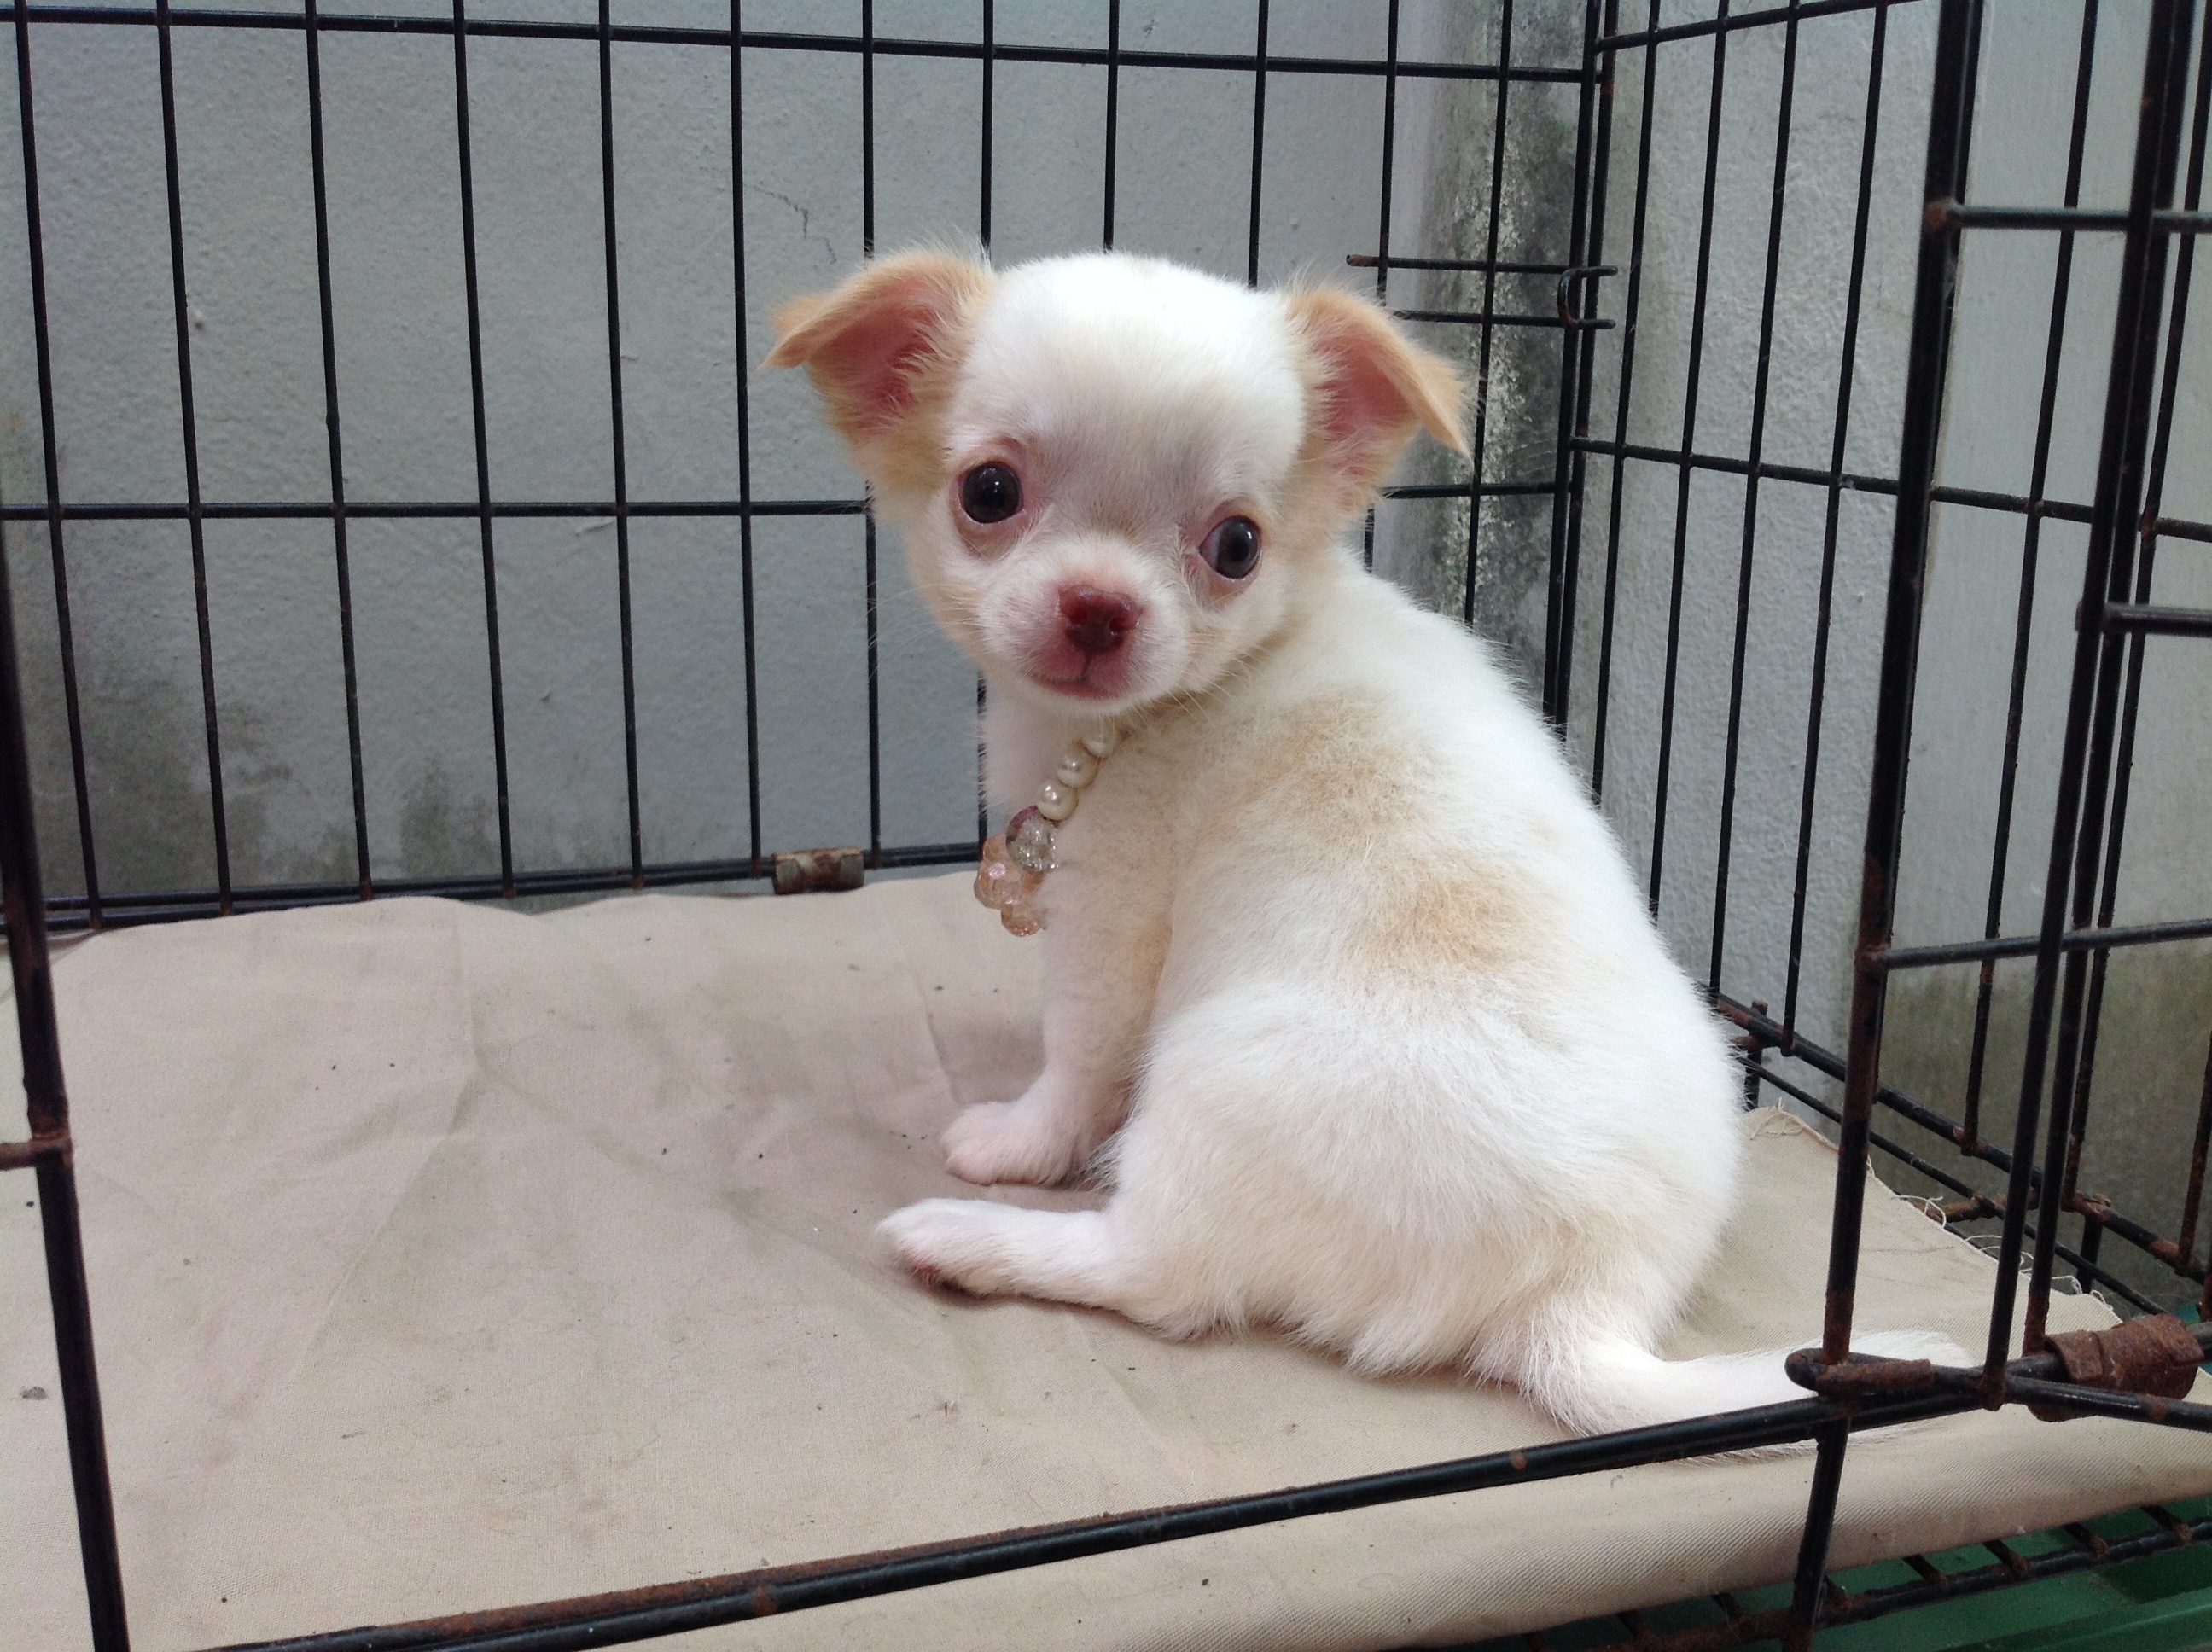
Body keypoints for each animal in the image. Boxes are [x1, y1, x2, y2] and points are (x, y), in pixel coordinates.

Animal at [768, 249, 1956, 1436]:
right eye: (989, 493)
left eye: (1236, 546)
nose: (1098, 608)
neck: (1158, 712)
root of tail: (1585, 1295)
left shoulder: (1111, 915)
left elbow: (1076, 1056)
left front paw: (1020, 1140)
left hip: (1213, 1083)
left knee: (1157, 1275)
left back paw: (964, 1239)